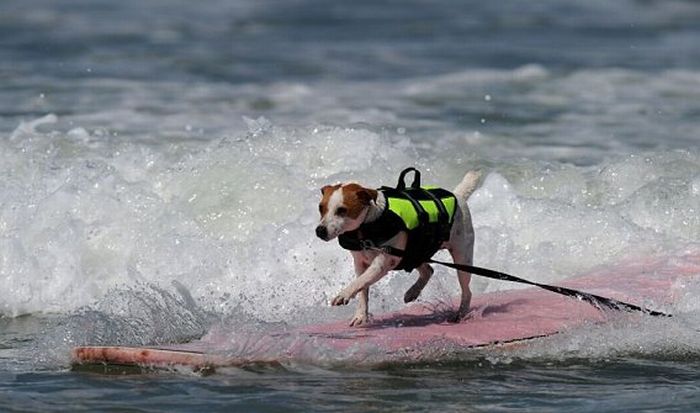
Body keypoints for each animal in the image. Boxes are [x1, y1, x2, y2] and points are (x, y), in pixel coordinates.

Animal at [316, 167, 482, 326]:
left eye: (342, 210)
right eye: (320, 208)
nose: (319, 231)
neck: (367, 225)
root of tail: (458, 195)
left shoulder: (381, 264)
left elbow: (360, 281)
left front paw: (344, 294)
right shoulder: (360, 263)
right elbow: (363, 289)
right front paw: (360, 315)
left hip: (462, 257)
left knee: (466, 290)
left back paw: (461, 313)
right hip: (414, 252)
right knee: (428, 270)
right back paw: (413, 291)